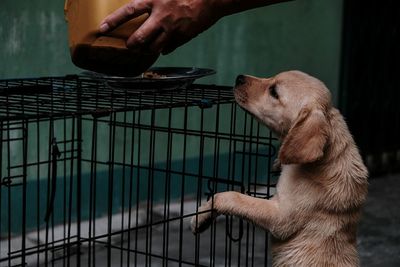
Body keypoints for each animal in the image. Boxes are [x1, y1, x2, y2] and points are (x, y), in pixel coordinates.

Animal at [191, 71, 368, 267]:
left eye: (274, 92)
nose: (239, 78)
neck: (326, 156)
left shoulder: (281, 217)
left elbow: (231, 197)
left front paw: (200, 217)